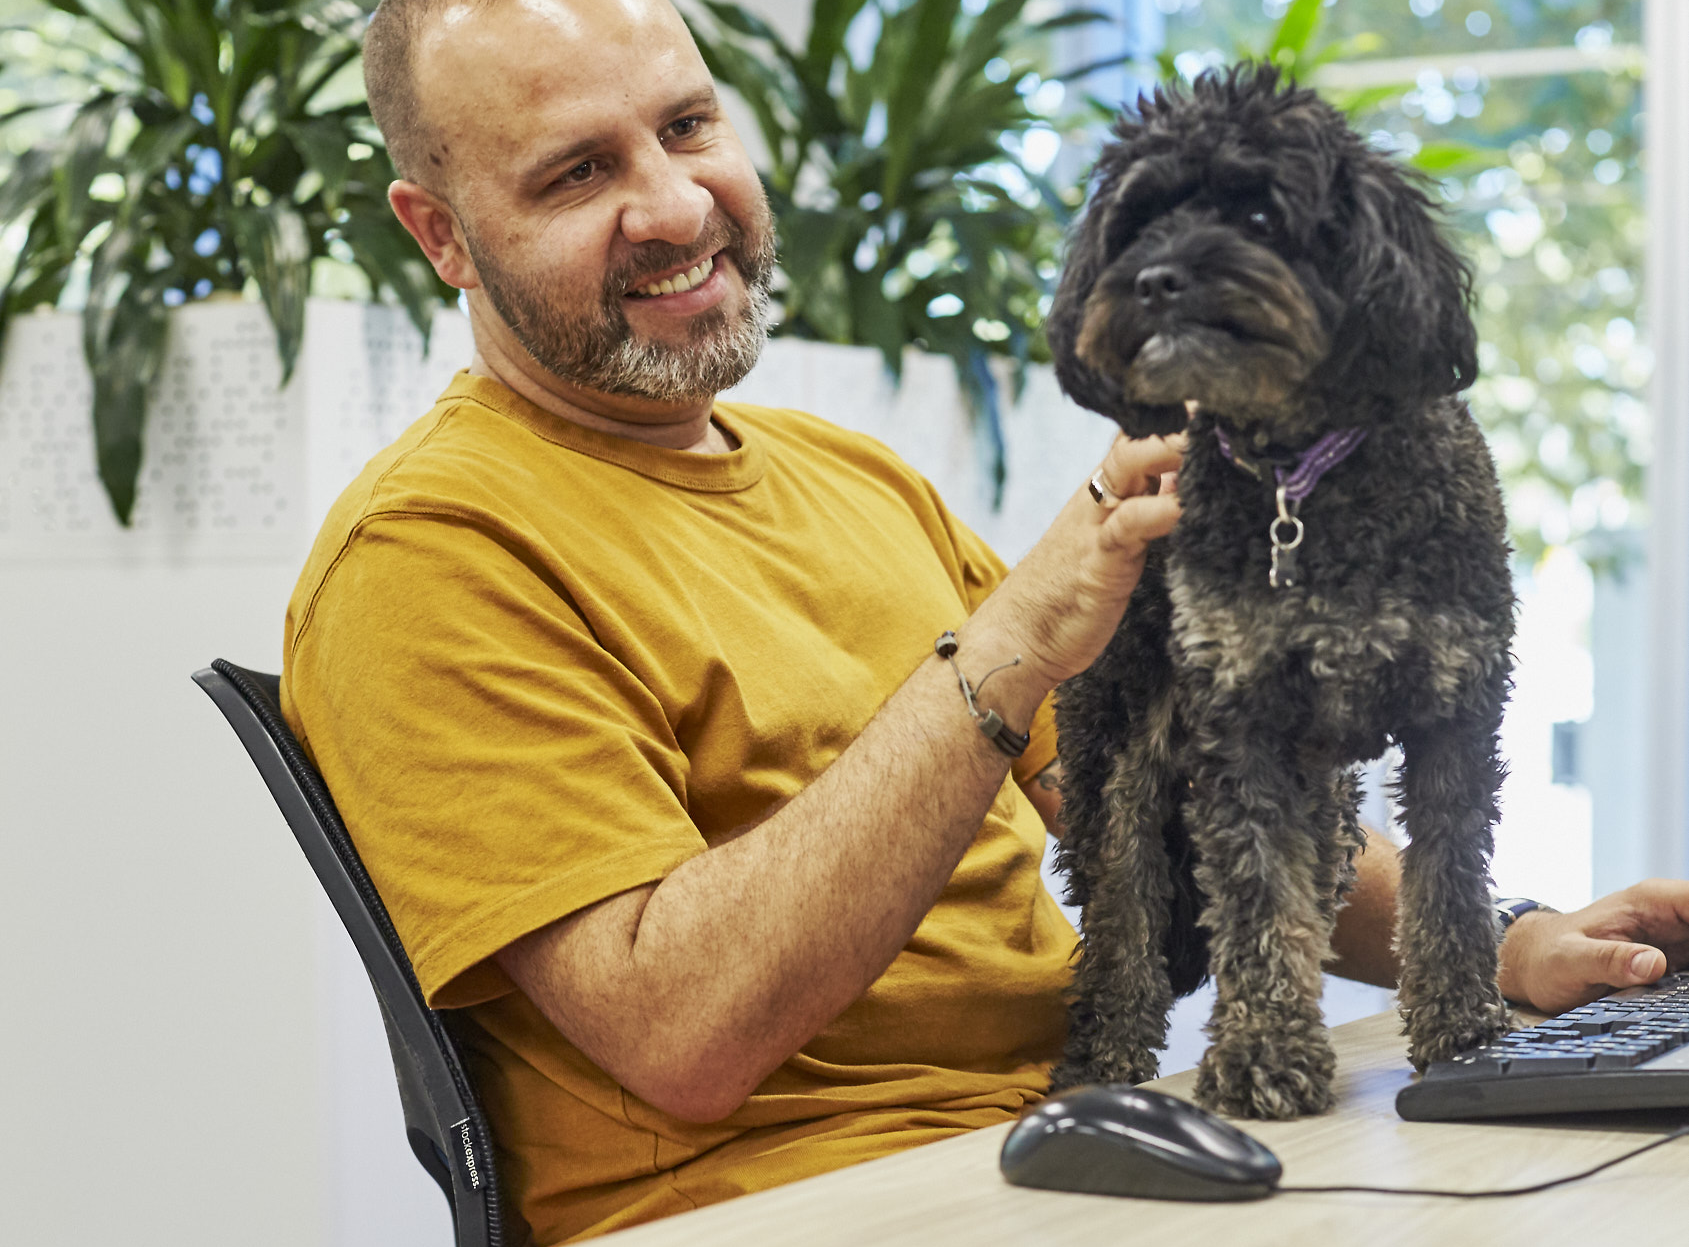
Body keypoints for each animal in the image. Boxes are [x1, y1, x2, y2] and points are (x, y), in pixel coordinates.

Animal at [1047, 65, 1513, 1115]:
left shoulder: (1456, 708)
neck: (1297, 478)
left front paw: (1462, 1030)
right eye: (1137, 223)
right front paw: (1263, 1054)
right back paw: (1100, 1060)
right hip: (1117, 768)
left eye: (1259, 211)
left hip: (1330, 806)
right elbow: (1257, 900)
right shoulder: (1241, 721)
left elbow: (1448, 878)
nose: (1153, 280)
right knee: (1122, 925)